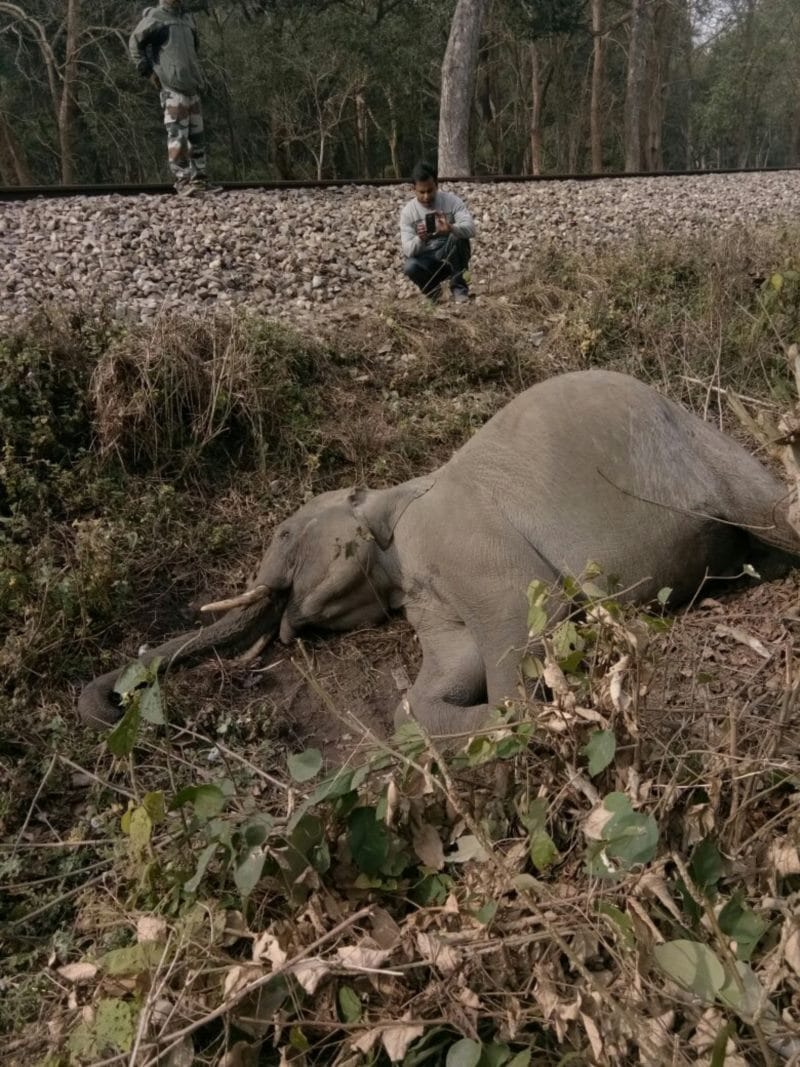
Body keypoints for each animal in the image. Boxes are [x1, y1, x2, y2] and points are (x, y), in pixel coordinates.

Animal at [79, 368, 800, 737]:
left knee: (771, 513)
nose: (116, 704)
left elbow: (525, 614)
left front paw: (525, 713)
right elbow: (450, 668)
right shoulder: (426, 587)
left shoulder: (458, 537)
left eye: (283, 536)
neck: (396, 495)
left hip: (710, 461)